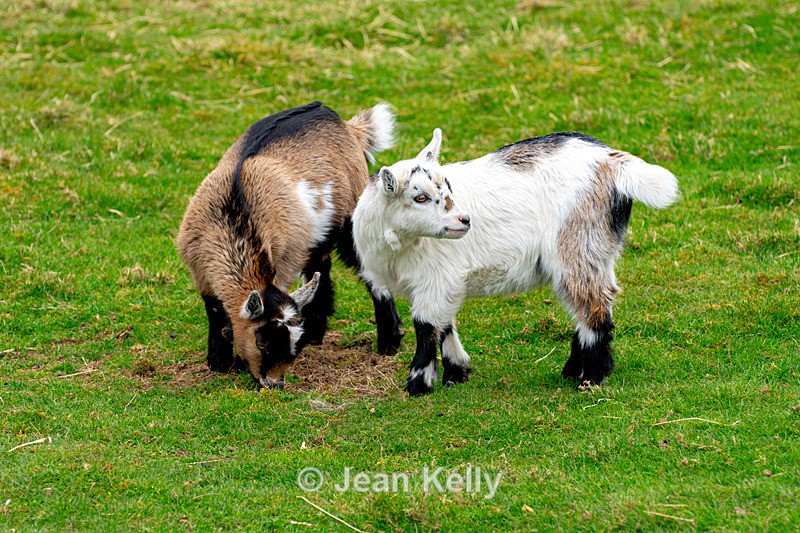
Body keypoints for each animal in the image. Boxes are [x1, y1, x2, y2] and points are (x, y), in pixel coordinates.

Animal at [177, 101, 403, 389]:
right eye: (262, 342)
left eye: (294, 346)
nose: (275, 383)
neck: (235, 215)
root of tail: (344, 123)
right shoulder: (200, 271)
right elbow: (215, 309)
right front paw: (218, 361)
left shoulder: (282, 262)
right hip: (316, 237)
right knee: (320, 267)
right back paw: (318, 330)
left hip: (351, 217)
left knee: (369, 268)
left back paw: (389, 341)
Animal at [352, 128, 679, 395]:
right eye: (419, 197)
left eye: (448, 188)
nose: (464, 220)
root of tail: (611, 161)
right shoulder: (438, 283)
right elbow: (444, 324)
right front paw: (456, 373)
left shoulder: (437, 277)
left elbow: (425, 325)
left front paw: (418, 383)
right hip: (599, 247)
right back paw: (576, 370)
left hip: (576, 242)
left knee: (593, 305)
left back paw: (590, 379)